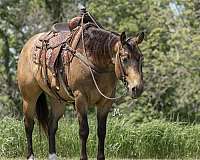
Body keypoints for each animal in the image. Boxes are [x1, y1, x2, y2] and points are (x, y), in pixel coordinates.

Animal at [16, 10, 144, 160]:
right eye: (124, 58)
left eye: (140, 58)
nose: (137, 88)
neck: (95, 60)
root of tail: (27, 46)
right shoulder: (80, 98)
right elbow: (84, 130)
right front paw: (83, 157)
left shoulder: (105, 102)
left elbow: (102, 131)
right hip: (29, 97)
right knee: (29, 124)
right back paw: (30, 155)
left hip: (58, 100)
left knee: (52, 124)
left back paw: (53, 155)